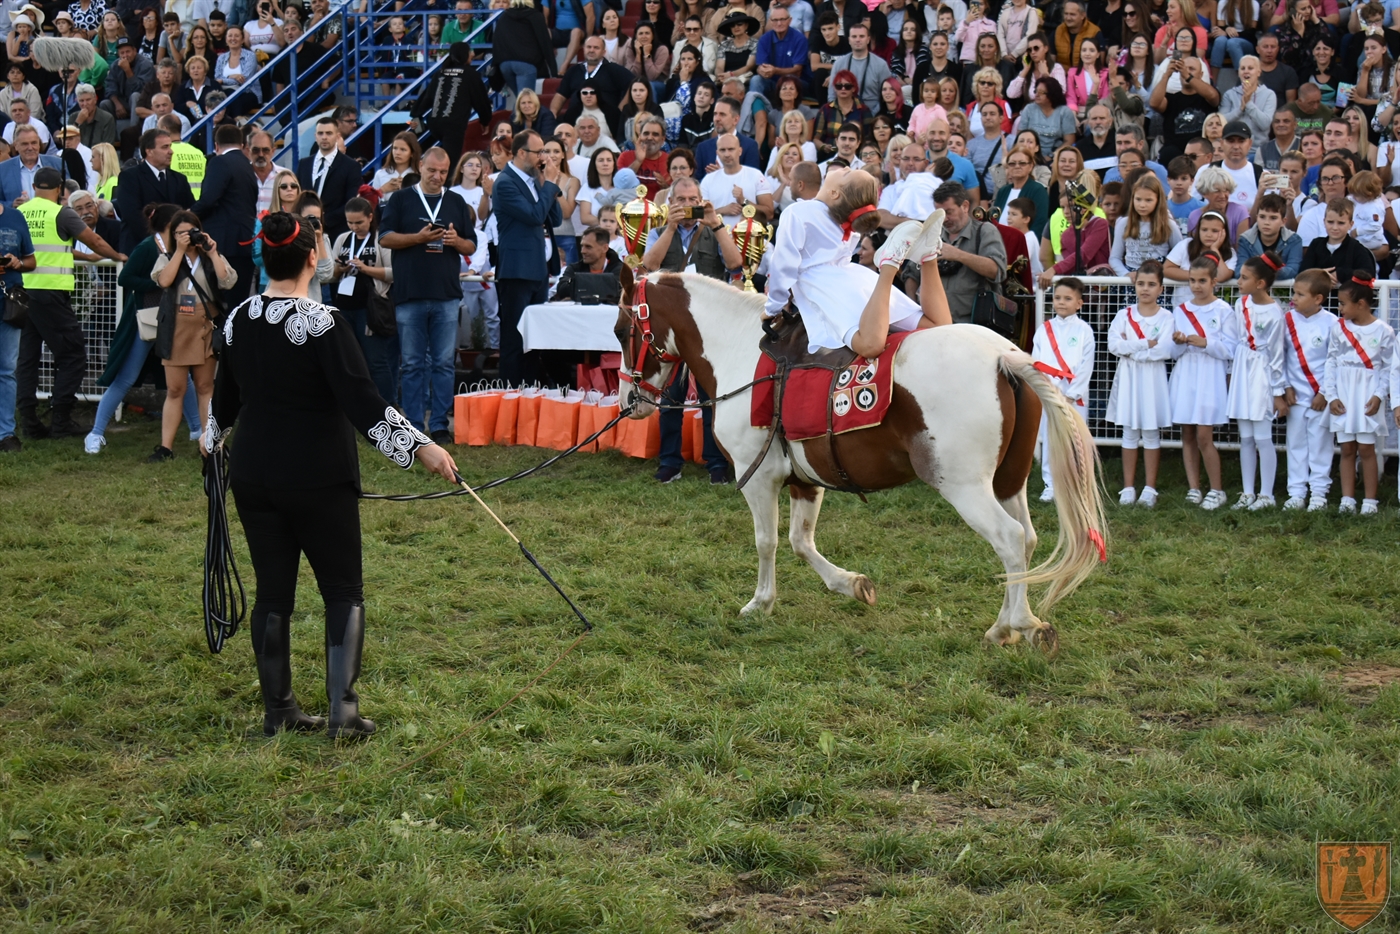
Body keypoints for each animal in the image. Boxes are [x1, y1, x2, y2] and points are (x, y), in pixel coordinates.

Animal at [614, 269, 1108, 653]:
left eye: (621, 331)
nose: (628, 402)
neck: (738, 349)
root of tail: (1004, 356)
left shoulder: (758, 478)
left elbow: (767, 542)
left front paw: (760, 602)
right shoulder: (804, 478)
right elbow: (800, 540)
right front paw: (851, 584)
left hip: (965, 486)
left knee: (1008, 539)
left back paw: (1019, 624)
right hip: (1008, 481)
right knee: (1026, 539)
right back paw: (1004, 625)